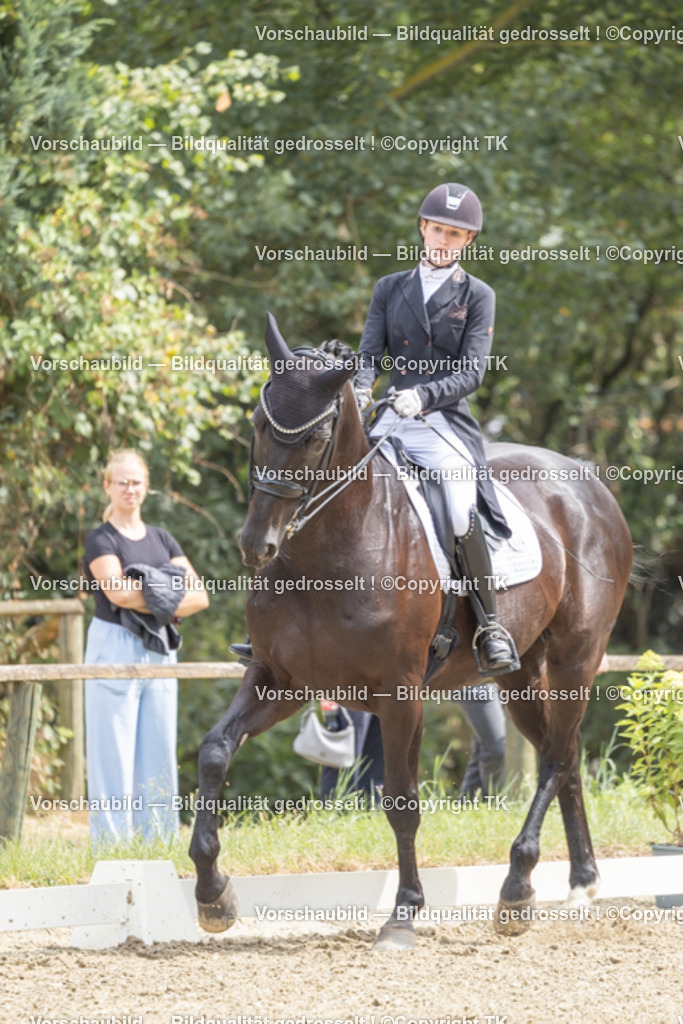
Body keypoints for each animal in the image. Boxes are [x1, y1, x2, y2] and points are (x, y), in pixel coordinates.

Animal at [189, 314, 633, 950]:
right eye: (258, 422)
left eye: (316, 439)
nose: (256, 545)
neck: (330, 549)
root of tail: (587, 482)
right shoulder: (281, 678)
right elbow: (215, 752)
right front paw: (213, 894)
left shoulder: (400, 694)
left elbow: (402, 801)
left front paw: (403, 914)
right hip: (521, 674)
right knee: (565, 752)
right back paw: (580, 881)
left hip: (577, 656)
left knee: (553, 758)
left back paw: (516, 888)